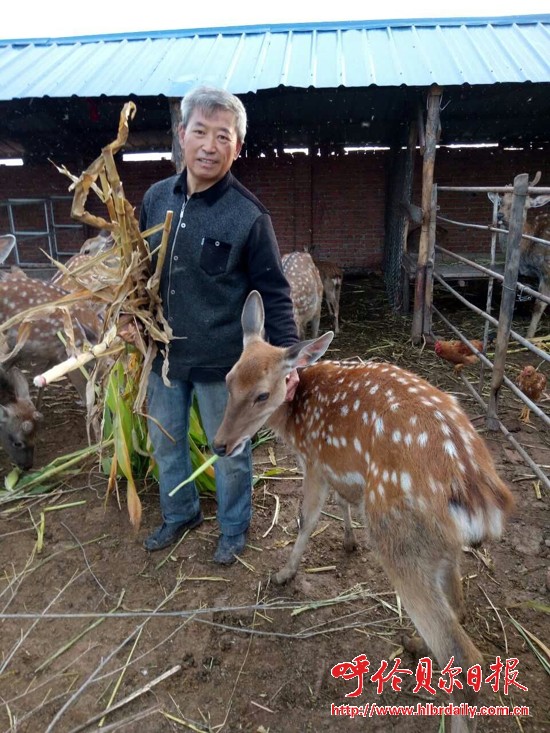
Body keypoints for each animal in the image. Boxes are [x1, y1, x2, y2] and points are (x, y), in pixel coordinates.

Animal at [213, 290, 515, 733]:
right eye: (228, 379)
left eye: (262, 394)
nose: (219, 445)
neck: (297, 417)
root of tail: (482, 495)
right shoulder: (340, 465)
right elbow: (343, 502)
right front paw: (349, 542)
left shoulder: (315, 459)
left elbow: (306, 519)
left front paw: (285, 574)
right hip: (439, 543)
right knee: (457, 607)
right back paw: (414, 642)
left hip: (398, 537)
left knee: (462, 655)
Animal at [488, 172, 550, 338]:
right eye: (501, 201)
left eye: (525, 205)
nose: (500, 215)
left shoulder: (547, 270)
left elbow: (539, 304)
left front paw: (529, 337)